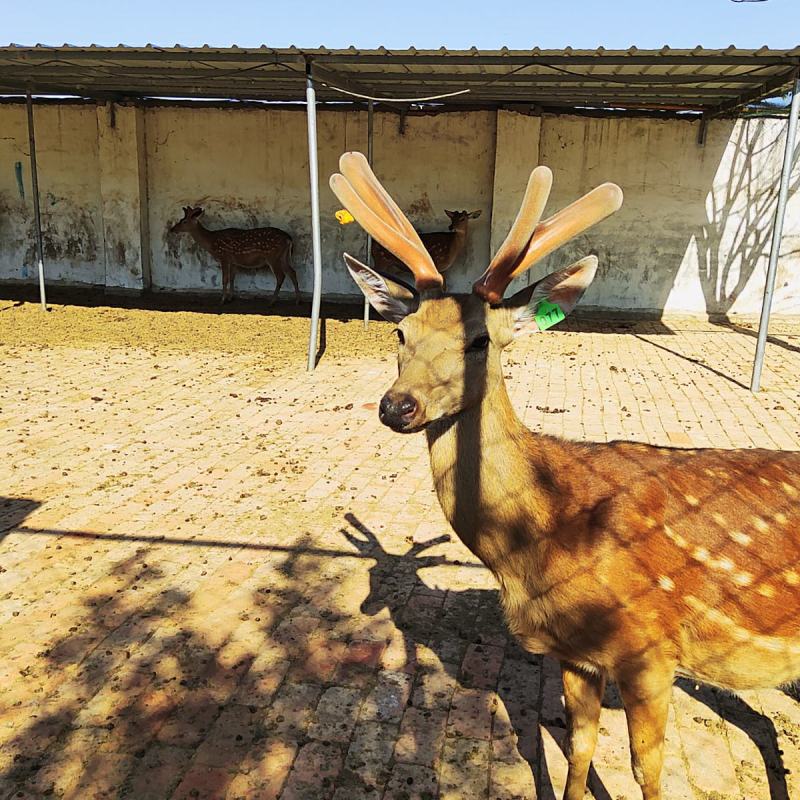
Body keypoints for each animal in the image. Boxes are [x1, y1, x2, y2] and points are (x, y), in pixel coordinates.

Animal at [170, 206, 300, 305]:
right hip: (283, 256)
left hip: (272, 256)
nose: (172, 229)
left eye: (184, 221)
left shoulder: (224, 256)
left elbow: (225, 279)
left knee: (281, 275)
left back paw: (272, 301)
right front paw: (230, 298)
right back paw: (297, 300)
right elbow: (232, 278)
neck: (212, 242)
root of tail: (289, 239)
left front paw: (222, 300)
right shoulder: (233, 261)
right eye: (181, 219)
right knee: (292, 272)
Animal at [330, 151, 800, 800]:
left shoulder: (651, 650)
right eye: (401, 333)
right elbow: (578, 747)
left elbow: (646, 770)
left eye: (479, 340)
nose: (397, 406)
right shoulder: (576, 653)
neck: (535, 547)